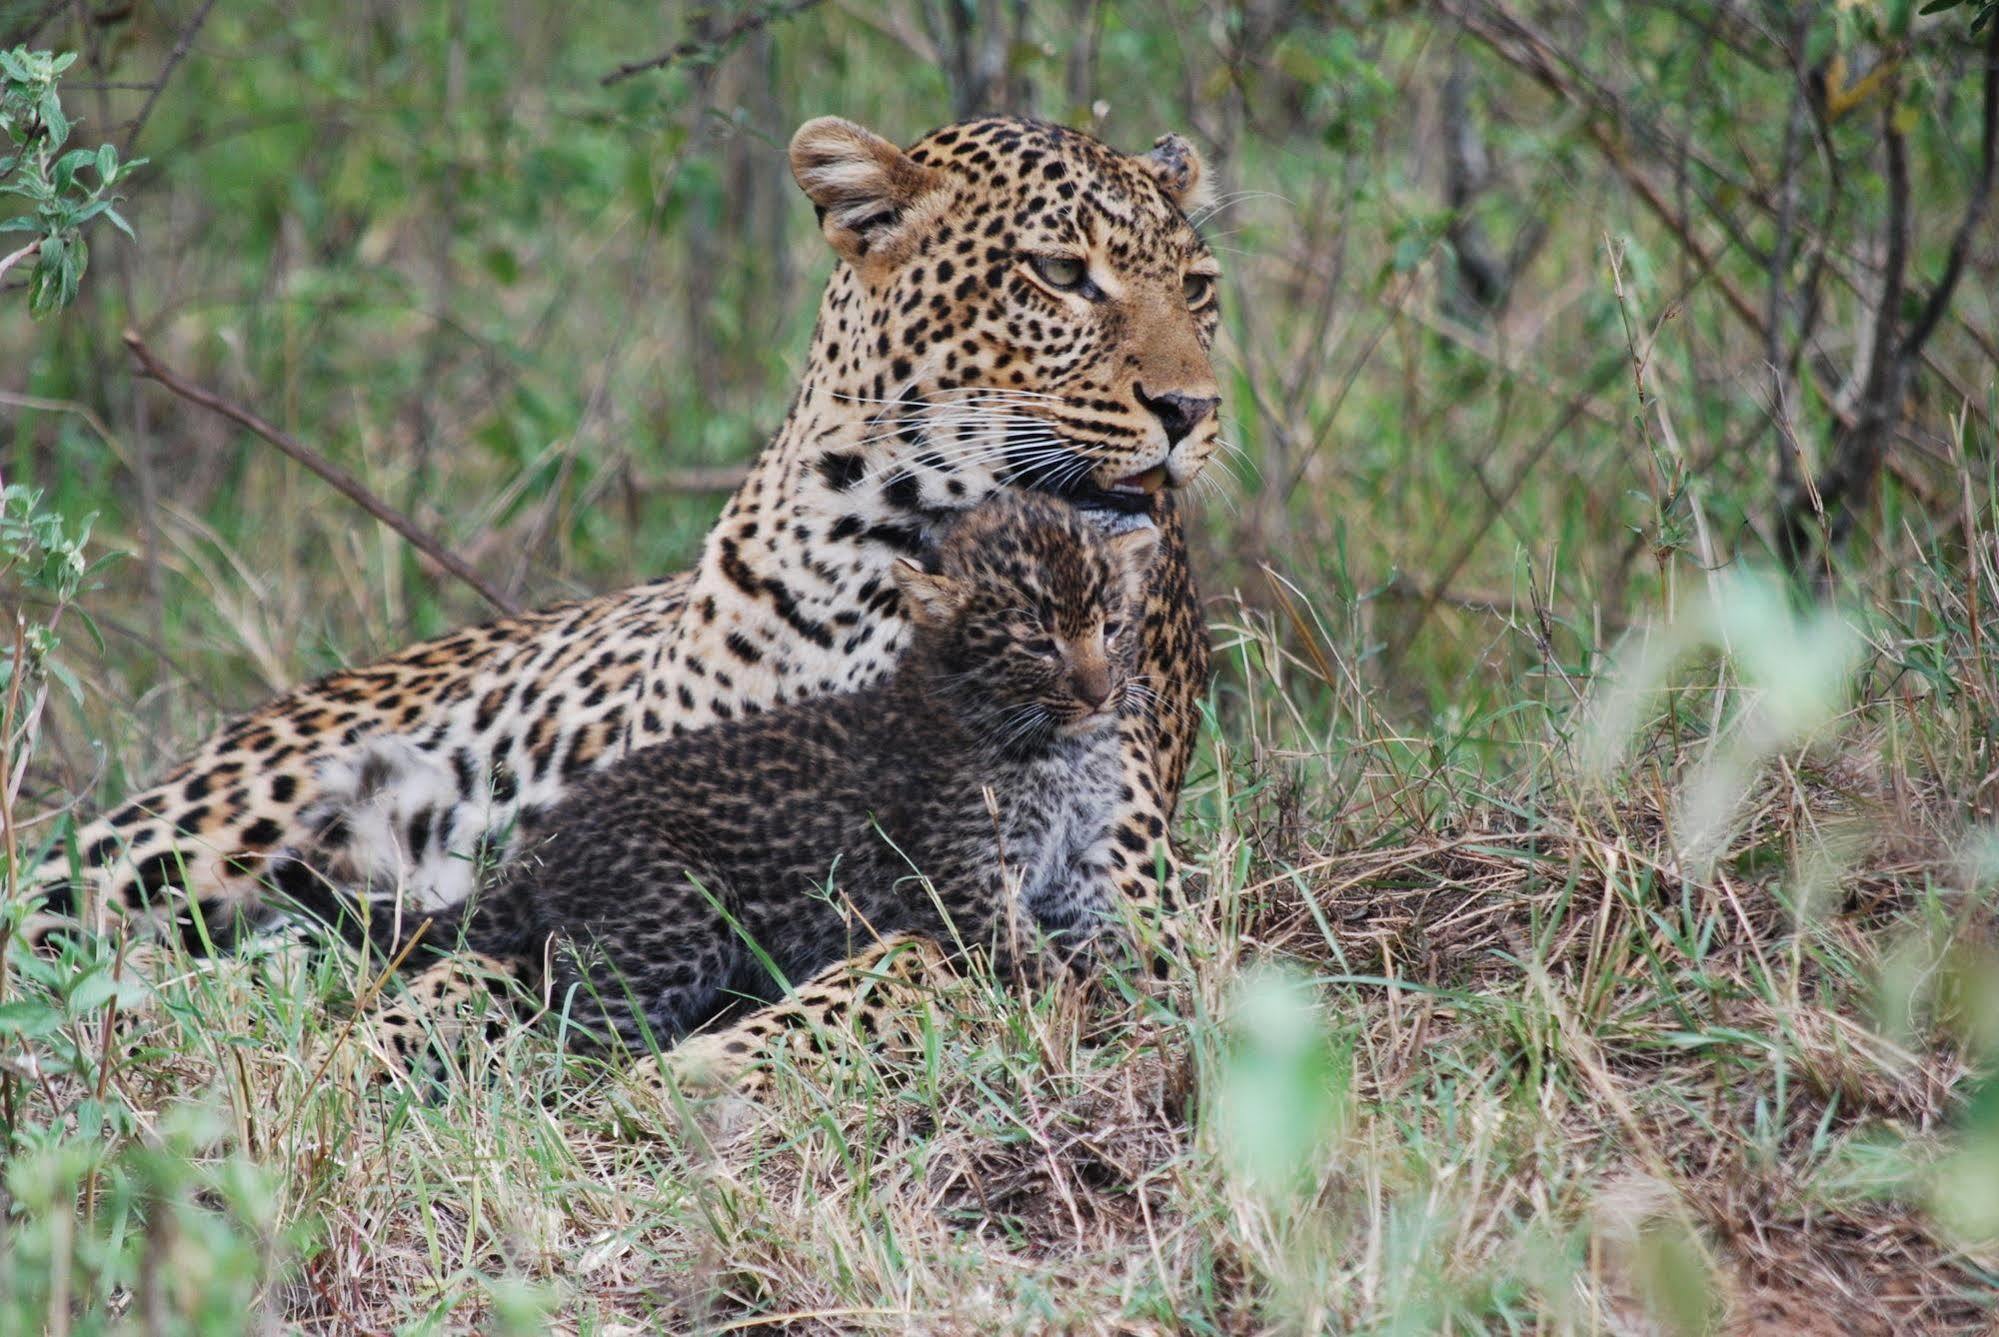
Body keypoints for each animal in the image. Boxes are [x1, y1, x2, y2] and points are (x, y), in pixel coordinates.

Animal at [27, 109, 1215, 1079]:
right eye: (1060, 273)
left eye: (1197, 288)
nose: (1193, 408)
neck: (884, 549)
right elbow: (450, 990)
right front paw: (340, 1071)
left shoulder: (1130, 923)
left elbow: (901, 971)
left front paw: (718, 1070)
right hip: (166, 849)